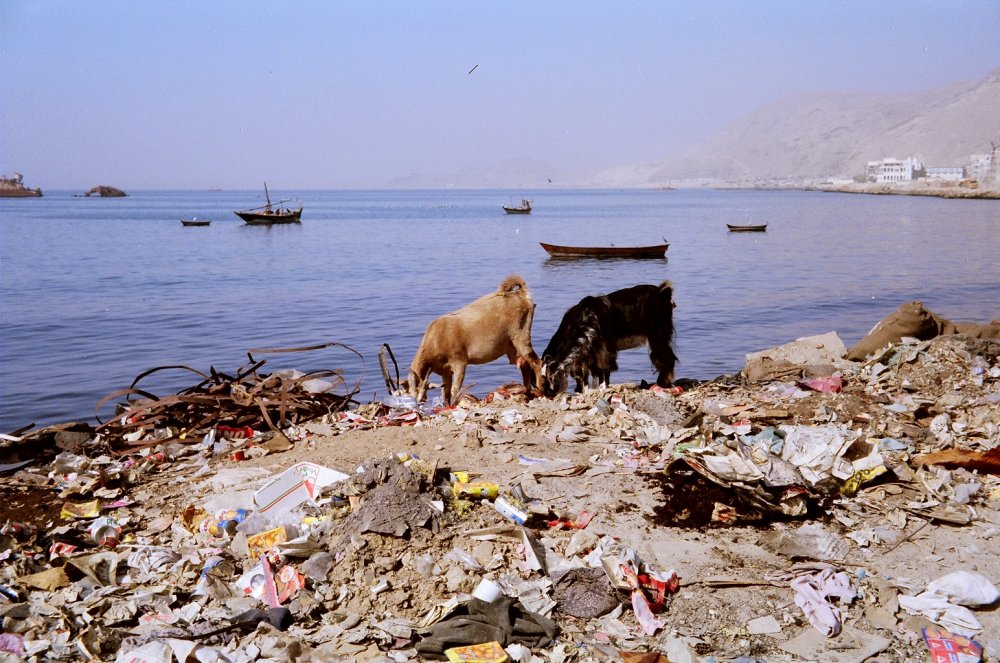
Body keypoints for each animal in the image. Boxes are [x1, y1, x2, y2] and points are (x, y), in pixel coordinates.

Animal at [408, 275, 542, 404]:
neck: (435, 340)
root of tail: (521, 294)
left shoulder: (459, 362)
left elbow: (455, 390)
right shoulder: (445, 372)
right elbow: (445, 393)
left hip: (521, 335)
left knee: (536, 362)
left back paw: (541, 391)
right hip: (512, 347)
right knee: (524, 363)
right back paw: (527, 391)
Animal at [540, 281, 676, 396]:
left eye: (549, 376)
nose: (548, 393)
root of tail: (663, 291)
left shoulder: (604, 350)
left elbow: (603, 370)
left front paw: (602, 389)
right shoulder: (588, 353)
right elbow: (587, 374)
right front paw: (586, 392)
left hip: (658, 335)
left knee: (665, 357)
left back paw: (663, 384)